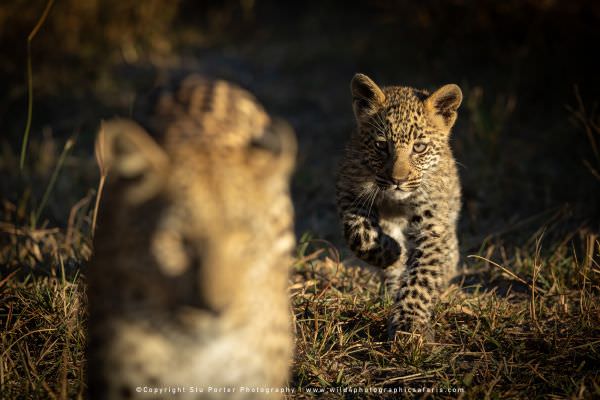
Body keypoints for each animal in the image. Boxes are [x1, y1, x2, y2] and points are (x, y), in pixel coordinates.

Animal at [338, 72, 464, 340]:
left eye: (419, 147)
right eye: (381, 146)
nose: (398, 180)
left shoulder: (432, 224)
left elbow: (422, 277)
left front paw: (409, 325)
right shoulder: (349, 193)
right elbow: (358, 234)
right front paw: (393, 252)